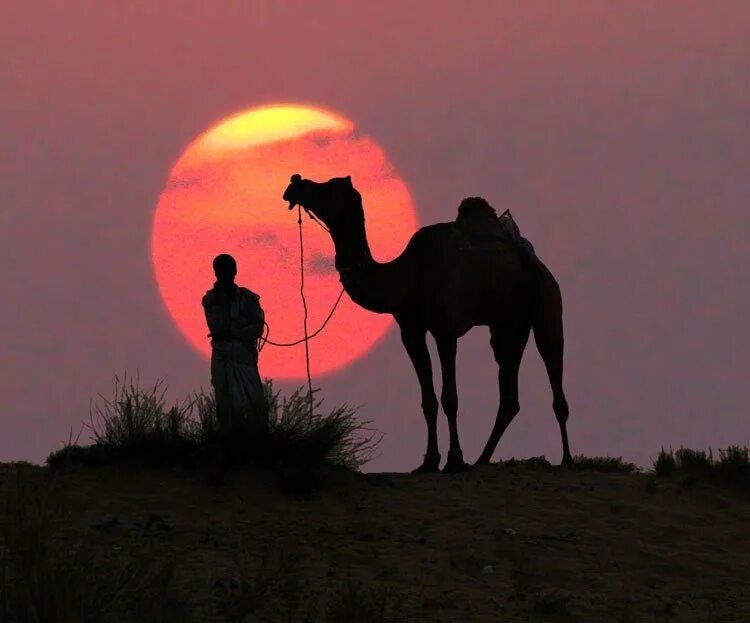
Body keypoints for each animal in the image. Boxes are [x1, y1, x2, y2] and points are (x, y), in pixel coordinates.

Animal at [284, 173, 572, 470]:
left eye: (328, 189)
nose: (295, 183)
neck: (408, 275)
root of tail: (536, 260)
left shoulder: (445, 329)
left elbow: (449, 397)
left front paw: (454, 459)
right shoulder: (411, 330)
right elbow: (428, 400)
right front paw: (429, 461)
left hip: (547, 304)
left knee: (553, 369)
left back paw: (566, 458)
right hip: (507, 326)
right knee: (509, 395)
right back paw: (481, 460)